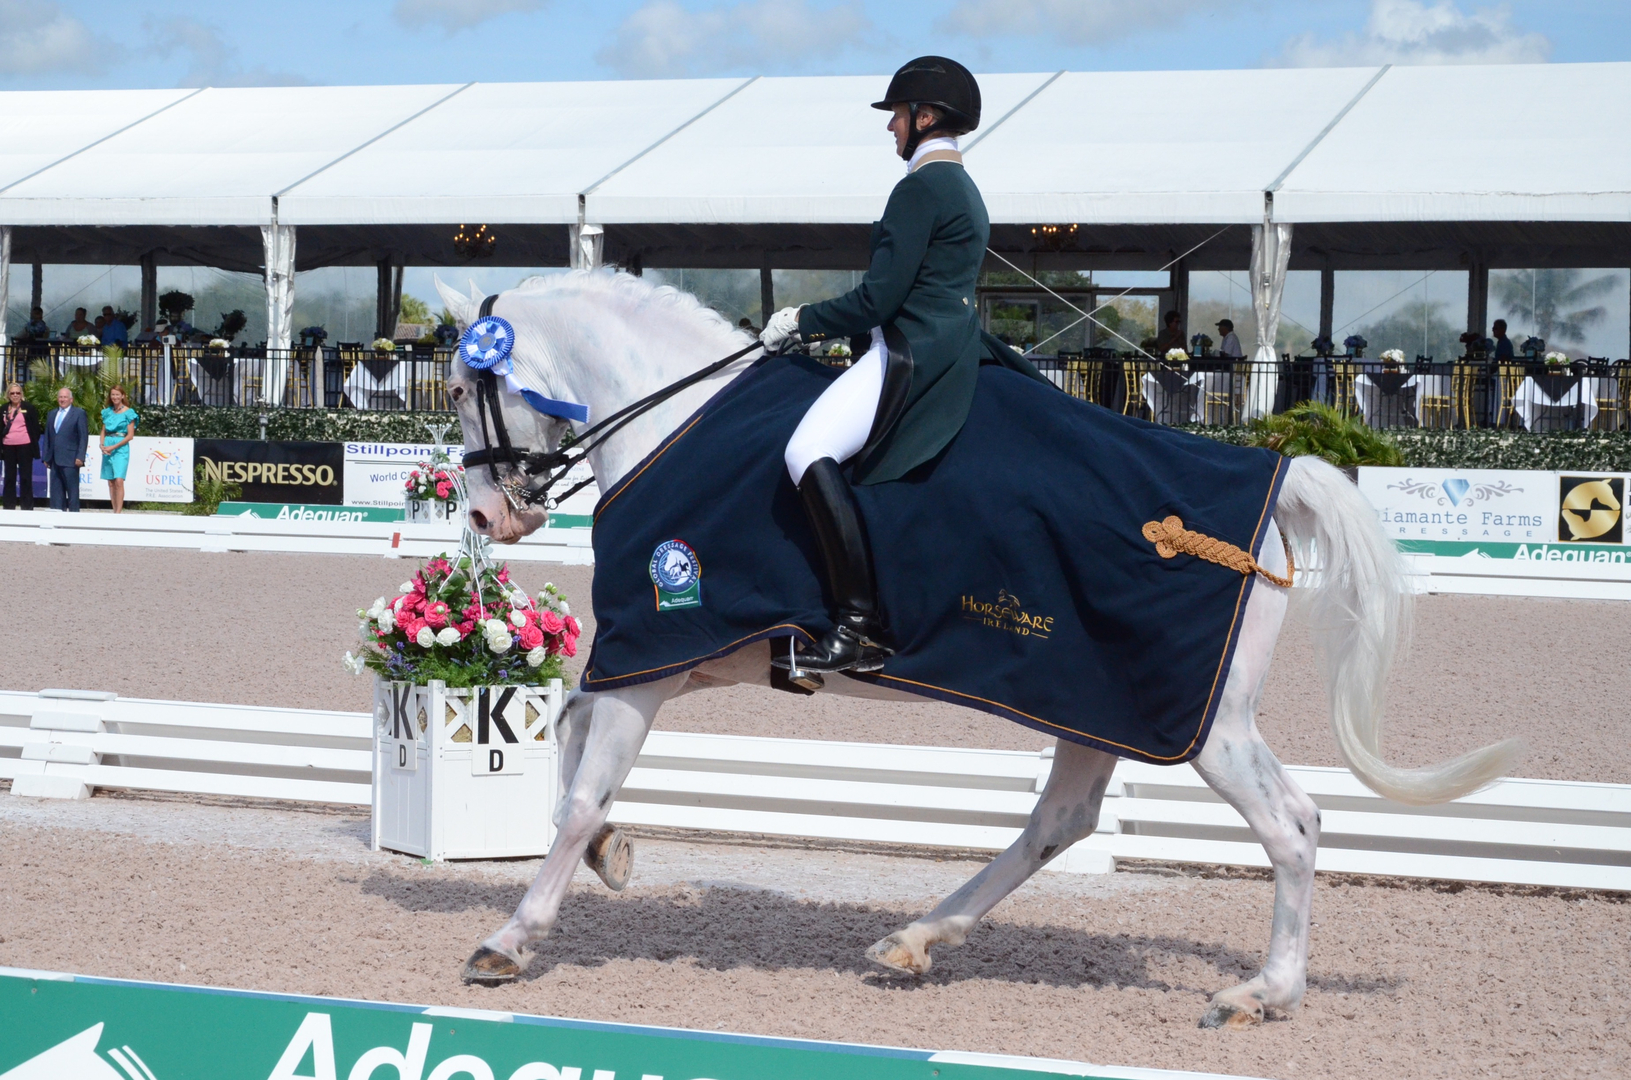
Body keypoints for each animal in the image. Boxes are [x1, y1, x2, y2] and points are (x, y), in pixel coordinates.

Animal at [433, 272, 1513, 1031]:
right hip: (1095, 697)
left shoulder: (661, 639)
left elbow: (578, 791)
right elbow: (568, 748)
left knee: (1289, 824)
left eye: (460, 385)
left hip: (1193, 720)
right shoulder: (687, 656)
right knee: (1064, 819)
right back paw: (918, 938)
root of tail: (1272, 481)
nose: (483, 515)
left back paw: (1263, 994)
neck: (672, 421)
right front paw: (611, 853)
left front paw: (510, 940)